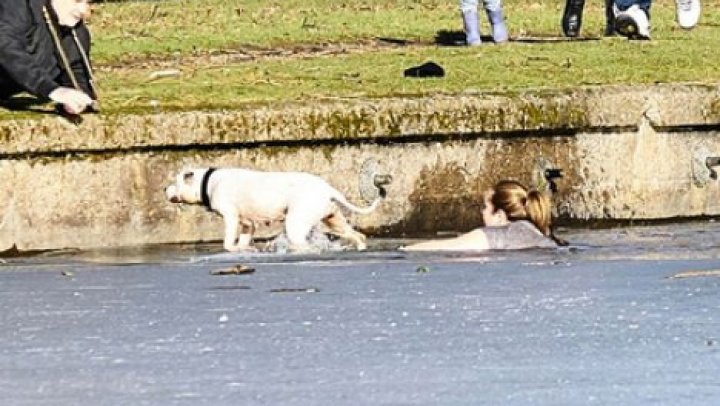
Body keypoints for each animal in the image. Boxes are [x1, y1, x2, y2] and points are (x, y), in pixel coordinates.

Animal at [165, 167, 382, 251]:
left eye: (175, 181)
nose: (164, 188)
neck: (207, 182)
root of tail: (328, 188)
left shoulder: (231, 217)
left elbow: (228, 242)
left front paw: (233, 248)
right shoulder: (247, 224)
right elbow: (244, 238)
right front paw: (245, 249)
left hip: (296, 223)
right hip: (333, 219)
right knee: (357, 235)